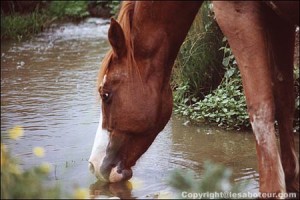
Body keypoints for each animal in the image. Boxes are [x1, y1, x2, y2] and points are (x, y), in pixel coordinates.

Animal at [88, 1, 298, 195]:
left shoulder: (236, 12)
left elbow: (260, 109)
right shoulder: (279, 22)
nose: (93, 165)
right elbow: (284, 100)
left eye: (105, 94)